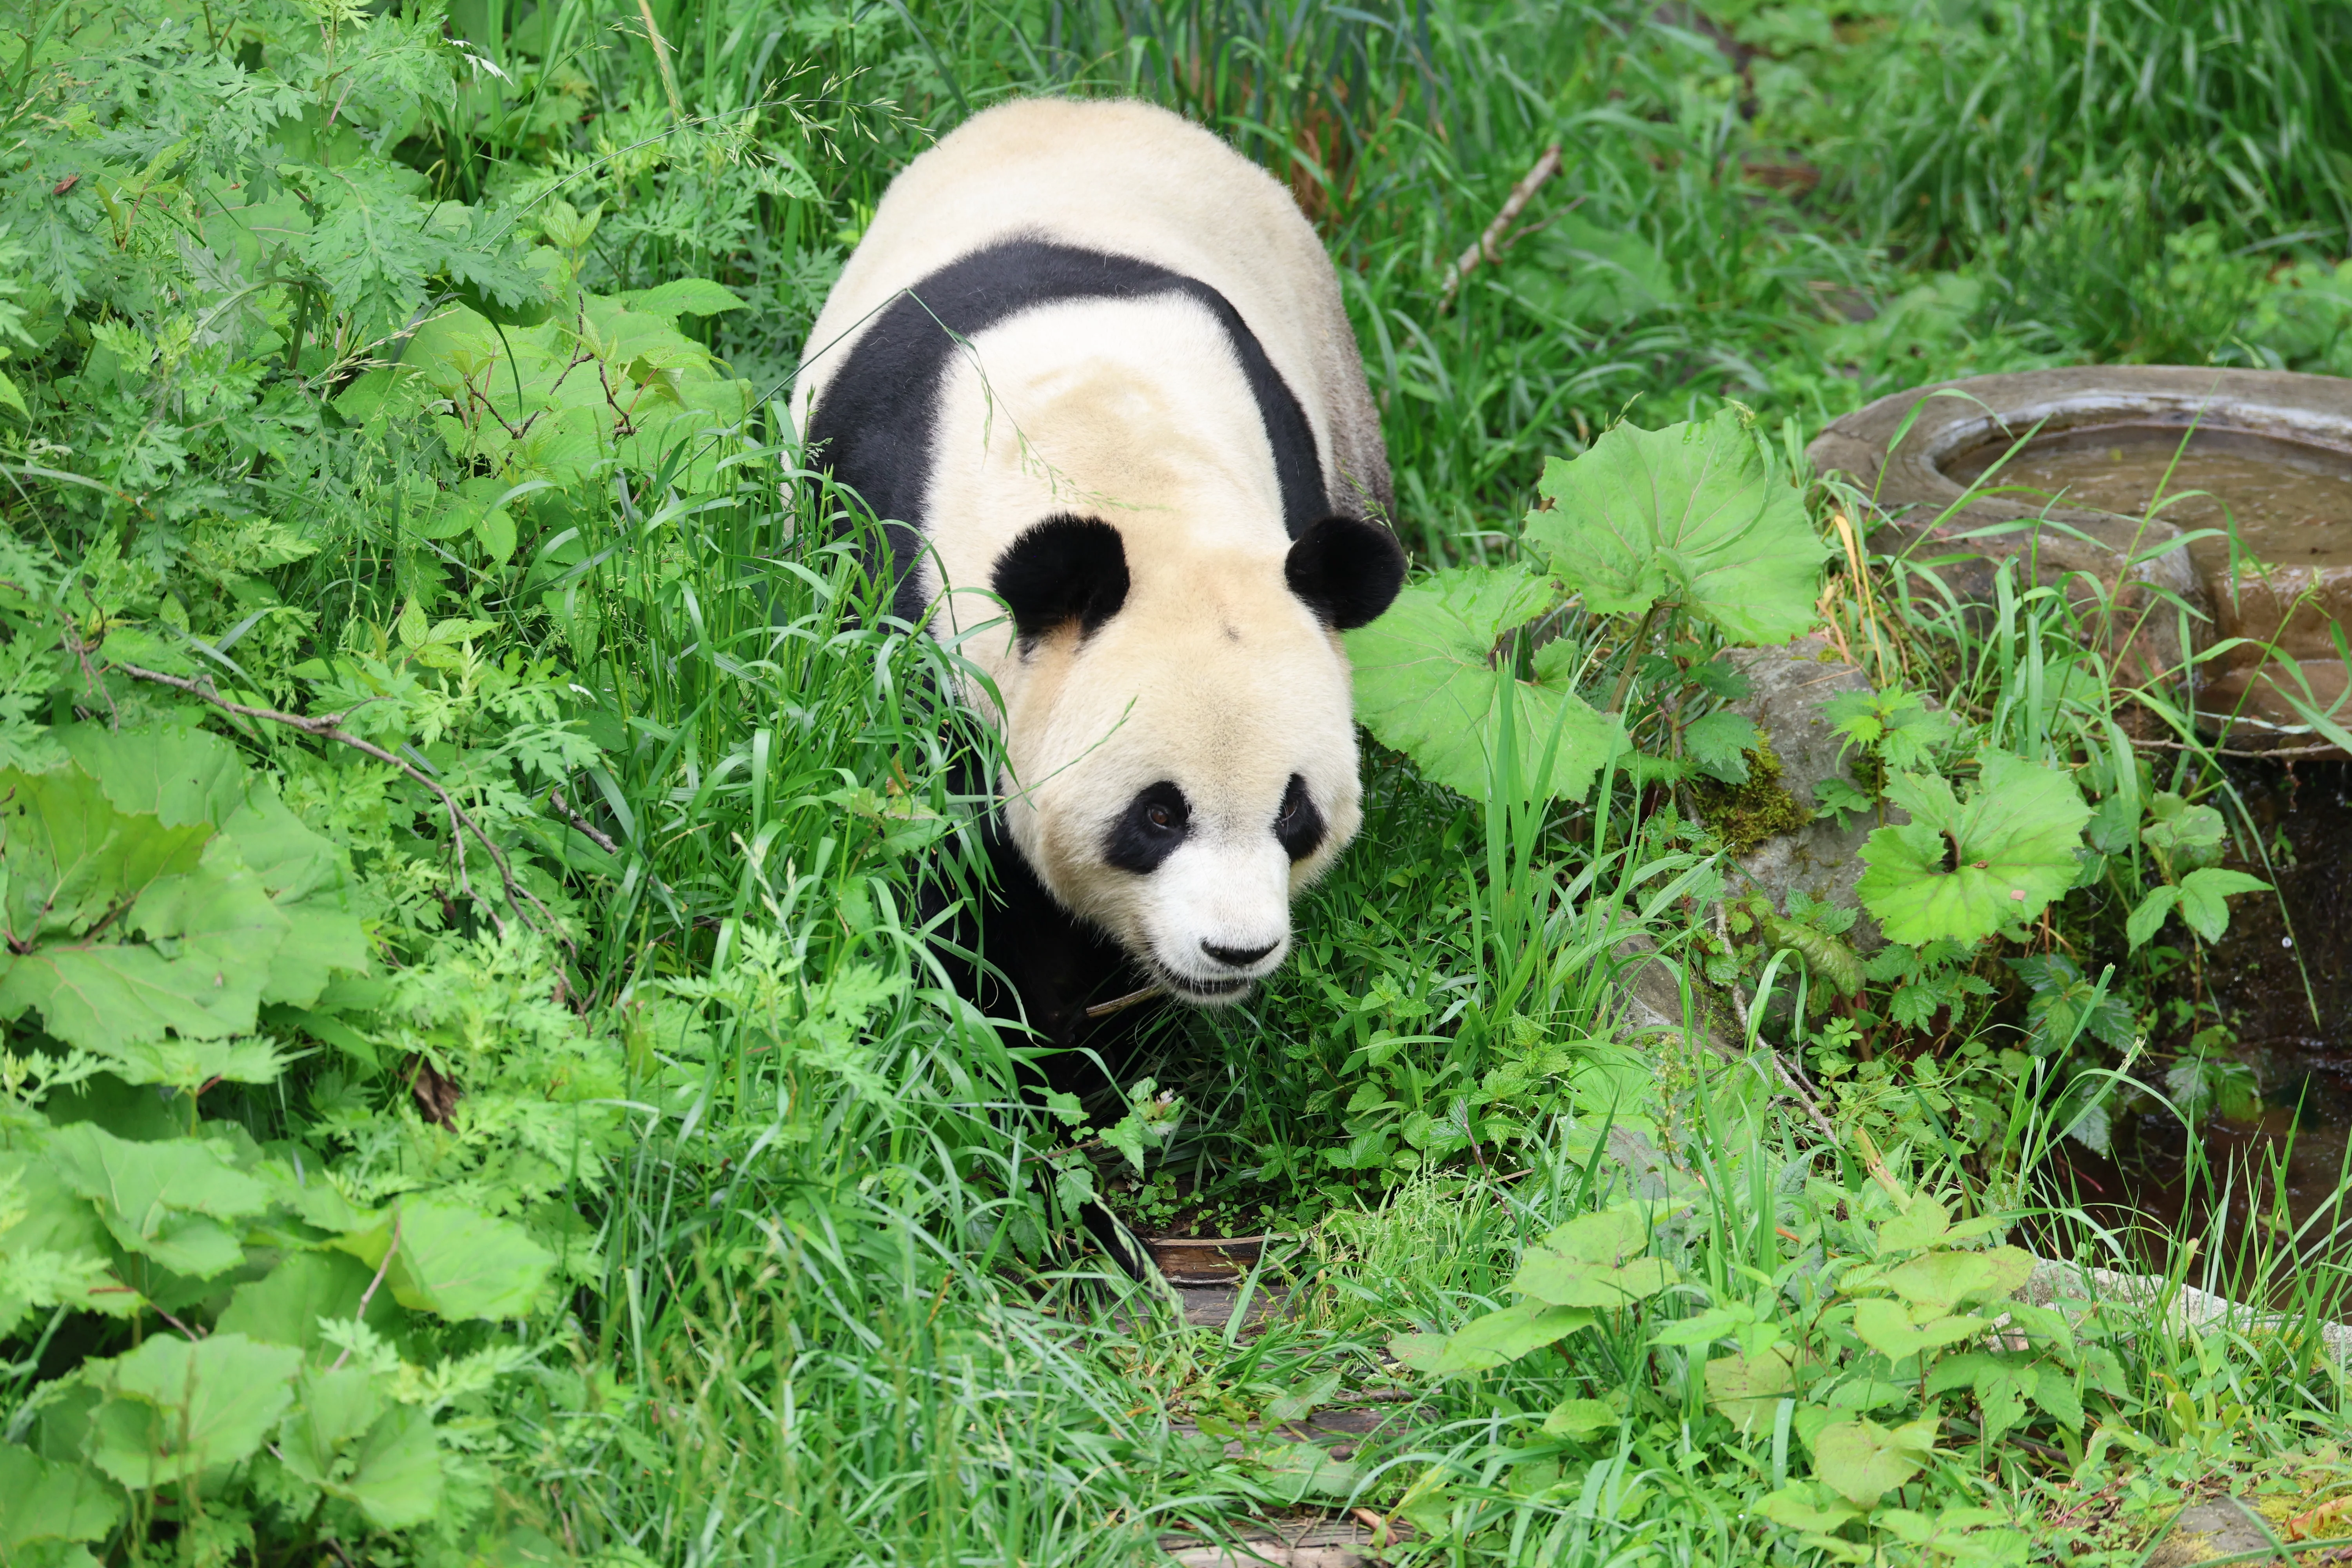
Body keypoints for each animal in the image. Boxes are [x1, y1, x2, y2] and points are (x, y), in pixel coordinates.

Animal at [792, 97, 1405, 1078]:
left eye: (1294, 808)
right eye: (1158, 813)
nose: (1235, 950)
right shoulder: (898, 599)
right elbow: (944, 858)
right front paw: (1031, 1047)